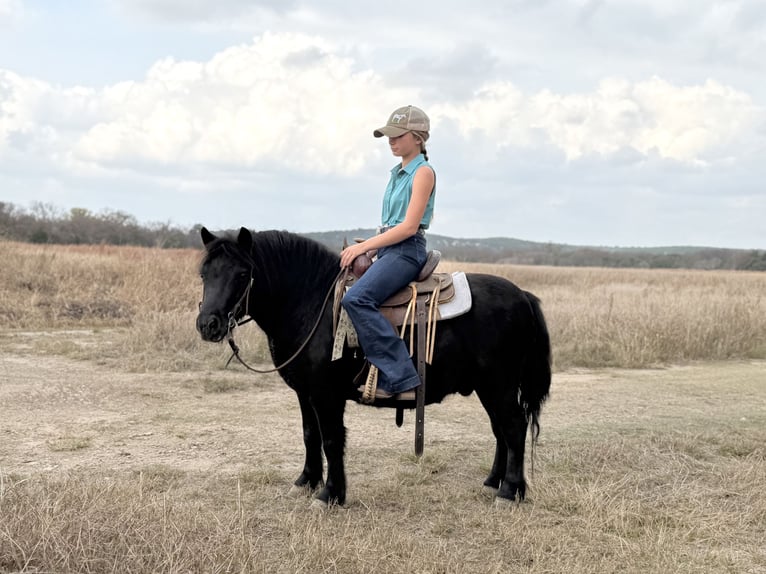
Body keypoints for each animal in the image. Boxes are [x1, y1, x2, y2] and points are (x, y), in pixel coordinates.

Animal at [196, 227, 552, 507]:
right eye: (204, 273)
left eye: (242, 274)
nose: (208, 324)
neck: (312, 303)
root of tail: (523, 296)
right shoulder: (304, 392)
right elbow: (310, 434)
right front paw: (306, 481)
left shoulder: (326, 394)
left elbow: (331, 439)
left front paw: (330, 495)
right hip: (486, 386)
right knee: (501, 430)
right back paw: (494, 481)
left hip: (499, 384)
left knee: (514, 427)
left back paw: (510, 491)